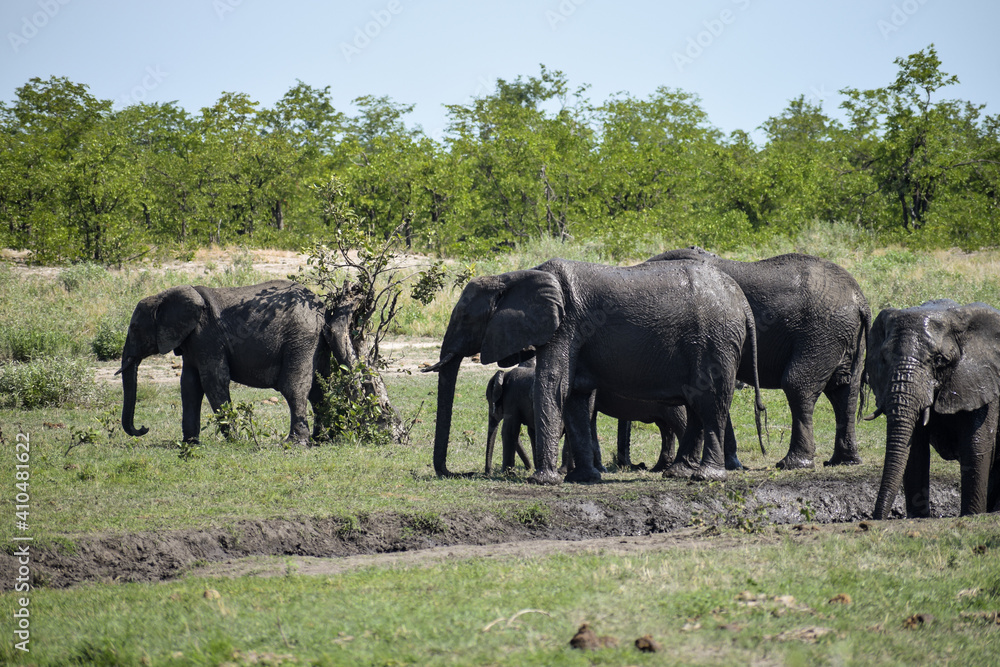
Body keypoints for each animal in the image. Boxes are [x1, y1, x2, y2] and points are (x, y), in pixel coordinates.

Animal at [119, 280, 358, 444]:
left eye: (134, 329)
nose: (143, 428)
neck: (164, 297)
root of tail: (322, 308)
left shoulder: (206, 337)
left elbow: (213, 381)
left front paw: (233, 440)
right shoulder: (191, 341)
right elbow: (189, 385)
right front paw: (190, 443)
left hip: (301, 337)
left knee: (294, 387)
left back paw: (296, 443)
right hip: (316, 341)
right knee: (319, 388)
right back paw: (320, 439)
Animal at [424, 258, 764, 486]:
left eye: (465, 317)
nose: (456, 473)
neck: (514, 277)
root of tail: (743, 303)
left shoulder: (566, 325)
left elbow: (553, 384)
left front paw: (543, 480)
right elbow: (575, 397)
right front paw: (582, 478)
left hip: (714, 339)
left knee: (710, 401)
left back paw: (706, 476)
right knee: (695, 404)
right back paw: (678, 473)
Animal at [648, 245, 868, 470]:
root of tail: (859, 300)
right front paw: (732, 465)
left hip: (821, 333)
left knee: (798, 384)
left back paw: (793, 463)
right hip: (846, 336)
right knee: (844, 391)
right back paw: (844, 461)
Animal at [868, 300, 1000, 520]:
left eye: (939, 360)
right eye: (884, 359)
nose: (876, 518)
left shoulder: (984, 383)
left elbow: (975, 446)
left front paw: (971, 515)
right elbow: (915, 453)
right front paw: (918, 518)